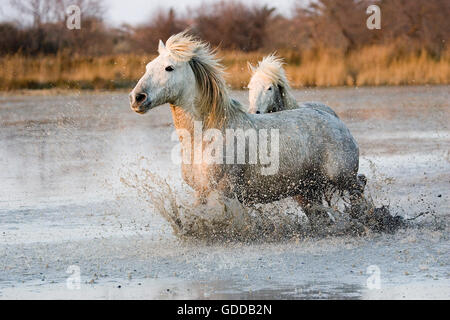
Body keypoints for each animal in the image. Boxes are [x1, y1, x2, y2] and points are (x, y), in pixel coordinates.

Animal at [127, 31, 366, 222]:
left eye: (169, 68)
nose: (137, 98)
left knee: (360, 189)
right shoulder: (201, 192)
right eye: (148, 66)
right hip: (307, 190)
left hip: (342, 178)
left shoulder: (224, 193)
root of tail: (335, 120)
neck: (206, 136)